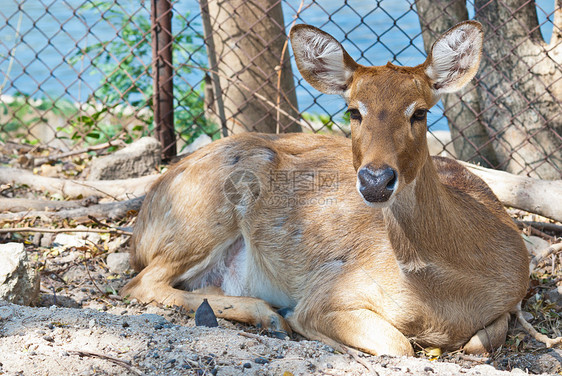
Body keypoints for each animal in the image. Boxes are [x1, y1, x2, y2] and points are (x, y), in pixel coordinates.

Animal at [120, 20, 528, 356]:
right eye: (353, 110)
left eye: (420, 112)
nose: (375, 179)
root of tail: (141, 226)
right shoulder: (330, 290)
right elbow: (398, 344)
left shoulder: (511, 298)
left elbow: (485, 337)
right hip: (203, 214)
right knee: (141, 282)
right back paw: (269, 315)